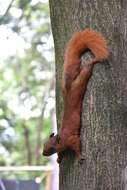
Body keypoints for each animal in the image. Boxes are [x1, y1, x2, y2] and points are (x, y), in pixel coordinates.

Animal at [42, 28, 108, 163]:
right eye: (44, 144)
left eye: (51, 147)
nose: (43, 153)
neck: (61, 138)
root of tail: (69, 88)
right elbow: (61, 152)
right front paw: (58, 159)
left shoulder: (71, 139)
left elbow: (77, 145)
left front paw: (79, 156)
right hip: (66, 87)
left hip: (81, 82)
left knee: (87, 69)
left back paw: (94, 61)